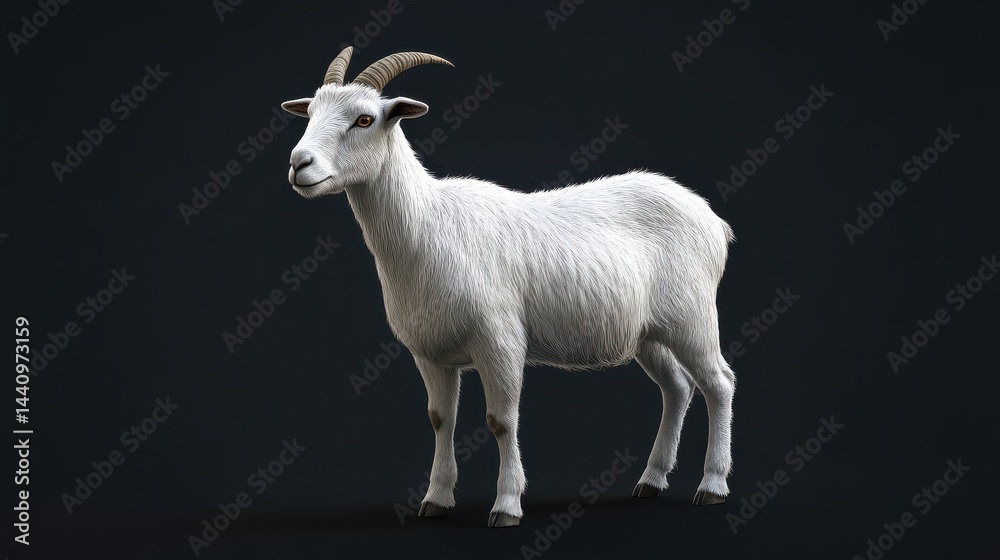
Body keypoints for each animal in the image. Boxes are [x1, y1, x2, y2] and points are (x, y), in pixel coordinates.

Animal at [282, 47, 736, 528]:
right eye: (310, 112)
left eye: (365, 120)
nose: (298, 164)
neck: (428, 224)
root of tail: (710, 217)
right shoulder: (430, 352)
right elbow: (440, 419)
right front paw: (436, 499)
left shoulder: (499, 341)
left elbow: (501, 421)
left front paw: (506, 505)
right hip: (648, 332)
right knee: (677, 388)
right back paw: (651, 480)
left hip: (693, 316)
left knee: (718, 382)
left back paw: (712, 485)